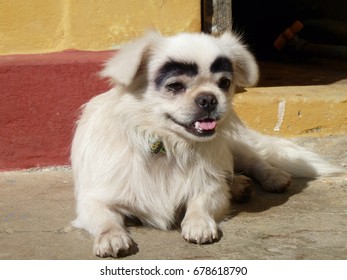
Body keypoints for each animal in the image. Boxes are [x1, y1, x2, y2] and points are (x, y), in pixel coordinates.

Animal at [70, 31, 340, 258]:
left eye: (224, 83)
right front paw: (112, 237)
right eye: (174, 86)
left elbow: (200, 201)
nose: (209, 98)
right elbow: (106, 219)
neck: (169, 145)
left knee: (254, 161)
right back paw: (240, 186)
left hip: (233, 145)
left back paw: (272, 178)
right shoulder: (94, 198)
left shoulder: (209, 187)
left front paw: (198, 223)